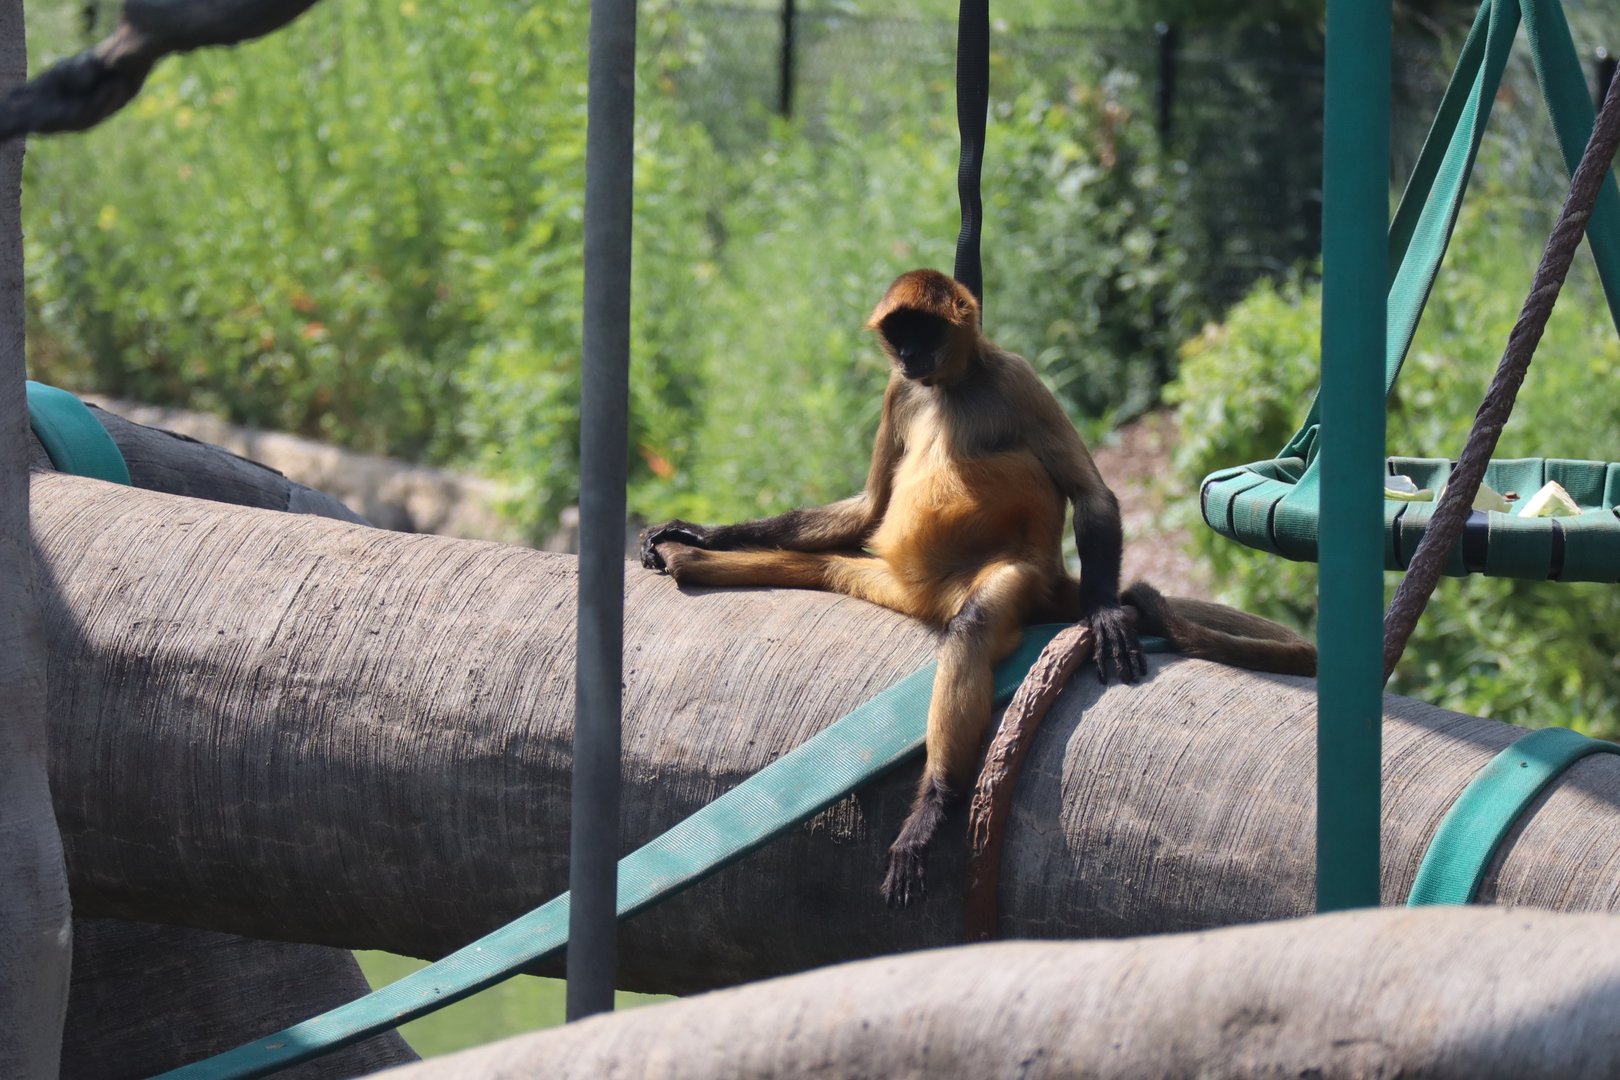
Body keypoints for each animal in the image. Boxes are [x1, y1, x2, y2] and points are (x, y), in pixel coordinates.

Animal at [639, 268, 1312, 905]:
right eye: (899, 336)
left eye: (925, 332)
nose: (910, 355)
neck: (948, 388)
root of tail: (925, 594)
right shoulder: (899, 391)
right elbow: (871, 506)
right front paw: (697, 532)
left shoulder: (1015, 375)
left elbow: (1092, 494)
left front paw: (1102, 614)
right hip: (886, 574)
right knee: (833, 562)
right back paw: (689, 557)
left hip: (1015, 572)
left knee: (973, 619)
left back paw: (935, 802)